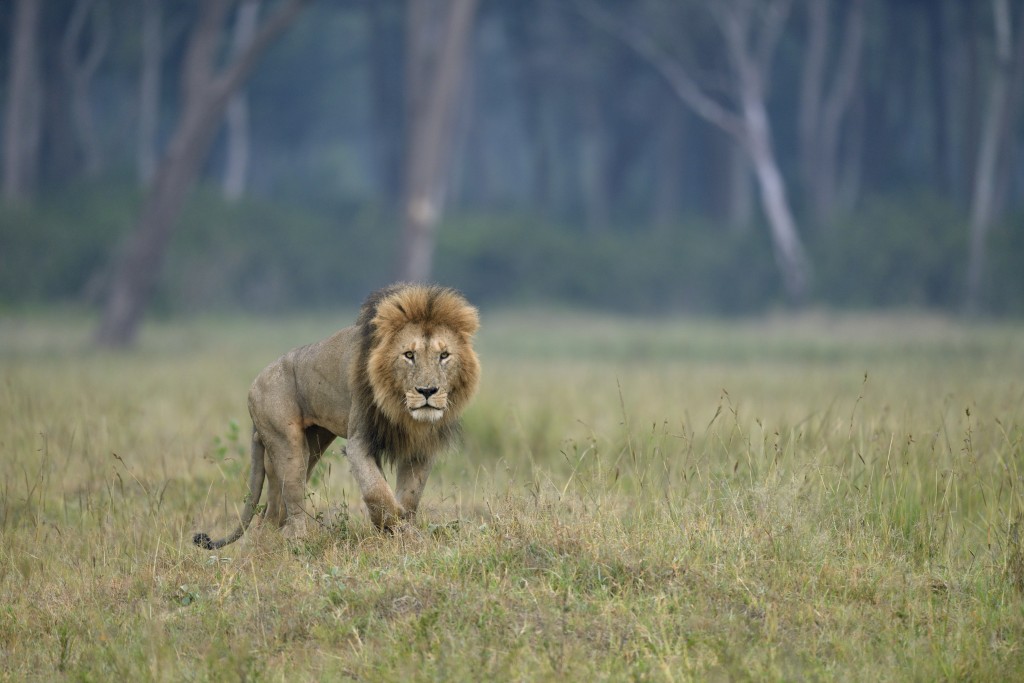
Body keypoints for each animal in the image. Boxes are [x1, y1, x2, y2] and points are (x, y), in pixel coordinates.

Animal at [193, 283, 480, 549]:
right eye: (409, 355)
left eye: (444, 356)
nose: (427, 391)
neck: (402, 411)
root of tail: (254, 384)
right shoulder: (359, 441)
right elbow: (378, 492)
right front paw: (395, 529)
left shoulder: (420, 448)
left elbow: (409, 497)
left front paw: (403, 533)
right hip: (288, 445)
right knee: (293, 506)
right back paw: (299, 543)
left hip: (311, 445)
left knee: (270, 515)